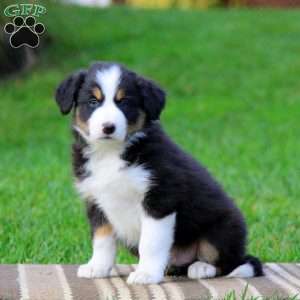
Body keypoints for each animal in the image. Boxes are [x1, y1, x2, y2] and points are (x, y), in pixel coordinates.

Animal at [54, 61, 262, 284]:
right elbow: (102, 240)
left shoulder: (160, 199)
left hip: (223, 228)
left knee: (230, 262)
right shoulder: (96, 200)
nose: (108, 127)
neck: (110, 153)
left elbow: (151, 243)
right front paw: (97, 267)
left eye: (124, 102)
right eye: (93, 101)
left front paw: (146, 274)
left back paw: (202, 267)